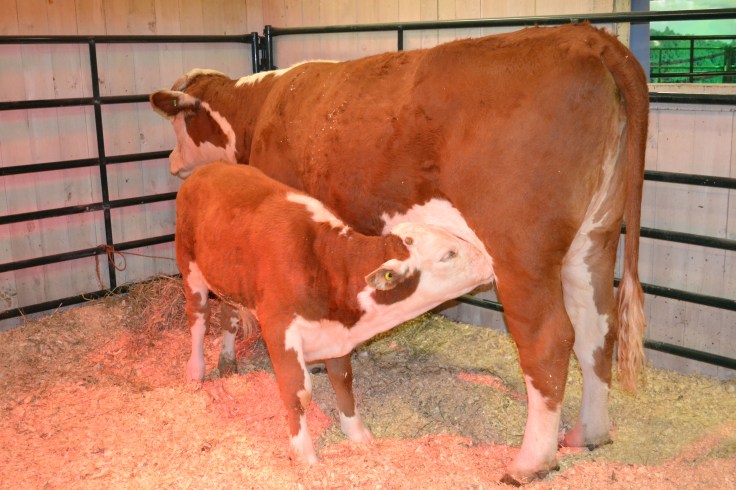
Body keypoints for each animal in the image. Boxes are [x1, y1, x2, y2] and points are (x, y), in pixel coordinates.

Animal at [176, 162, 494, 464]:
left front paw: (357, 433)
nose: (489, 262)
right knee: (199, 317)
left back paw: (228, 361)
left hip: (227, 277)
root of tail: (210, 168)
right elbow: (298, 392)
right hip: (189, 268)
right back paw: (195, 370)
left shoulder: (336, 334)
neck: (326, 264)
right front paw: (304, 453)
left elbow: (344, 381)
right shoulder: (280, 329)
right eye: (448, 254)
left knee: (228, 315)